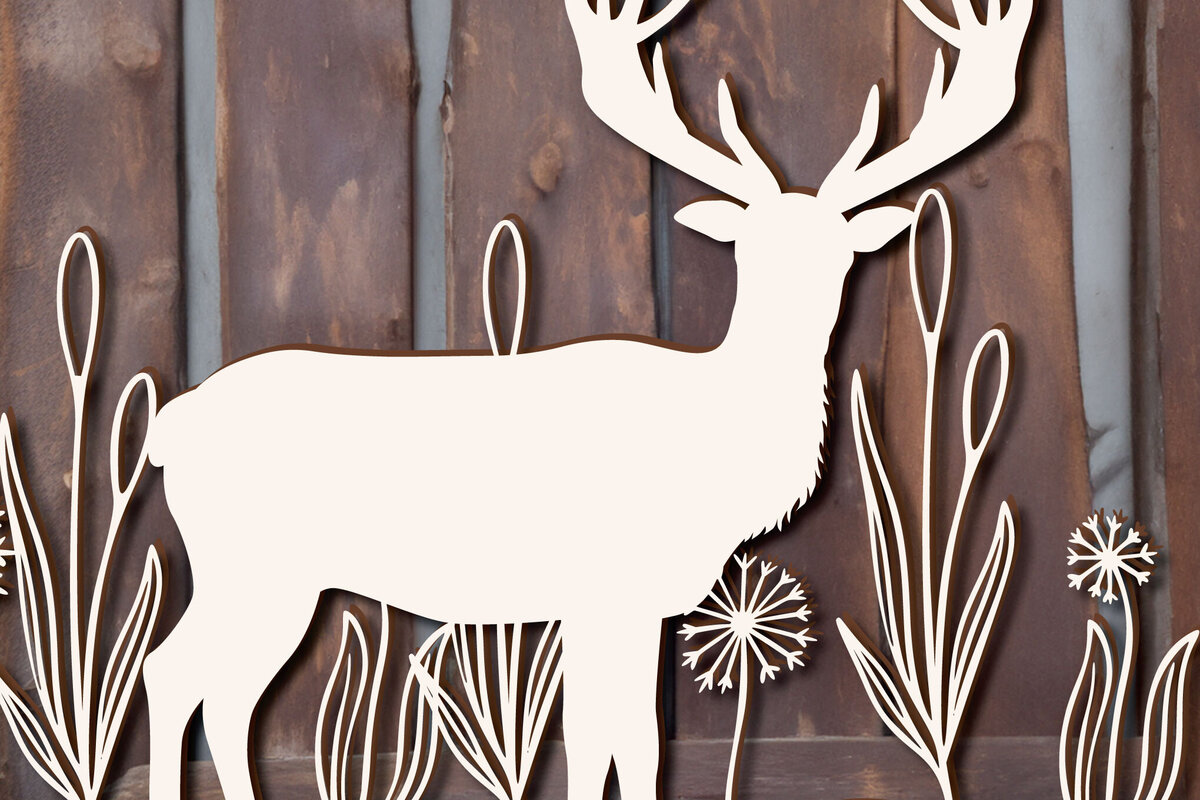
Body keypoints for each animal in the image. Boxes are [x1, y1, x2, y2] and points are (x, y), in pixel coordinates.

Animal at [141, 1, 1034, 799]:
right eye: (747, 248)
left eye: (841, 251)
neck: (714, 450)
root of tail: (169, 424)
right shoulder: (613, 583)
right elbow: (625, 742)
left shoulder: (618, 599)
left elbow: (614, 742)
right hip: (255, 561)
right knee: (175, 674)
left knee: (212, 691)